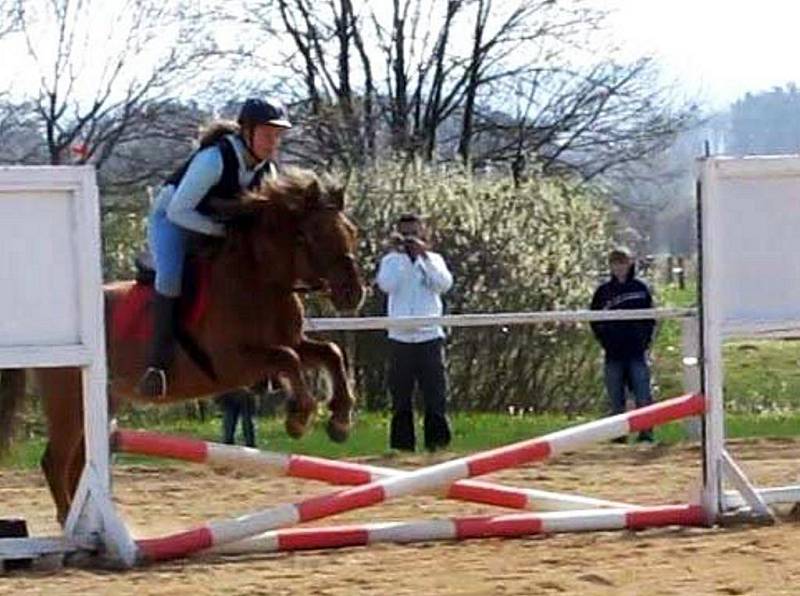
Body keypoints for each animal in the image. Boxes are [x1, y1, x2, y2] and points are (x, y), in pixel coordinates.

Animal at [0, 168, 366, 528]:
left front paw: (340, 421)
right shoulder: (232, 363)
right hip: (70, 400)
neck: (258, 282)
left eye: (351, 231)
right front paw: (300, 417)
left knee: (76, 463)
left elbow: (329, 352)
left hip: (102, 401)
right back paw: (69, 527)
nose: (353, 293)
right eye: (312, 235)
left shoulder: (289, 343)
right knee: (55, 461)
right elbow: (288, 359)